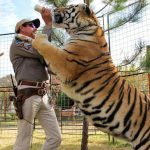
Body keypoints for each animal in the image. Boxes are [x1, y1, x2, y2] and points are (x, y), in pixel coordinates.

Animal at [18, 2, 150, 149]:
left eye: (68, 7)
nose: (54, 9)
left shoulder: (64, 61)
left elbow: (45, 45)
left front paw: (38, 36)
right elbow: (34, 42)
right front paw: (21, 36)